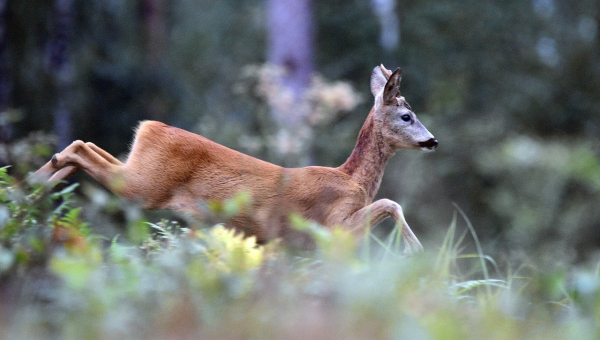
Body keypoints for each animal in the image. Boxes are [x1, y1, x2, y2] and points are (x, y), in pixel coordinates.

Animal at [31, 64, 436, 255]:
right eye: (406, 116)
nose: (432, 141)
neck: (353, 179)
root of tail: (150, 126)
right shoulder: (331, 225)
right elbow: (390, 202)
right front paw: (414, 249)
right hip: (143, 186)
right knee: (79, 148)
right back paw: (32, 188)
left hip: (139, 169)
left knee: (84, 145)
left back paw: (31, 187)